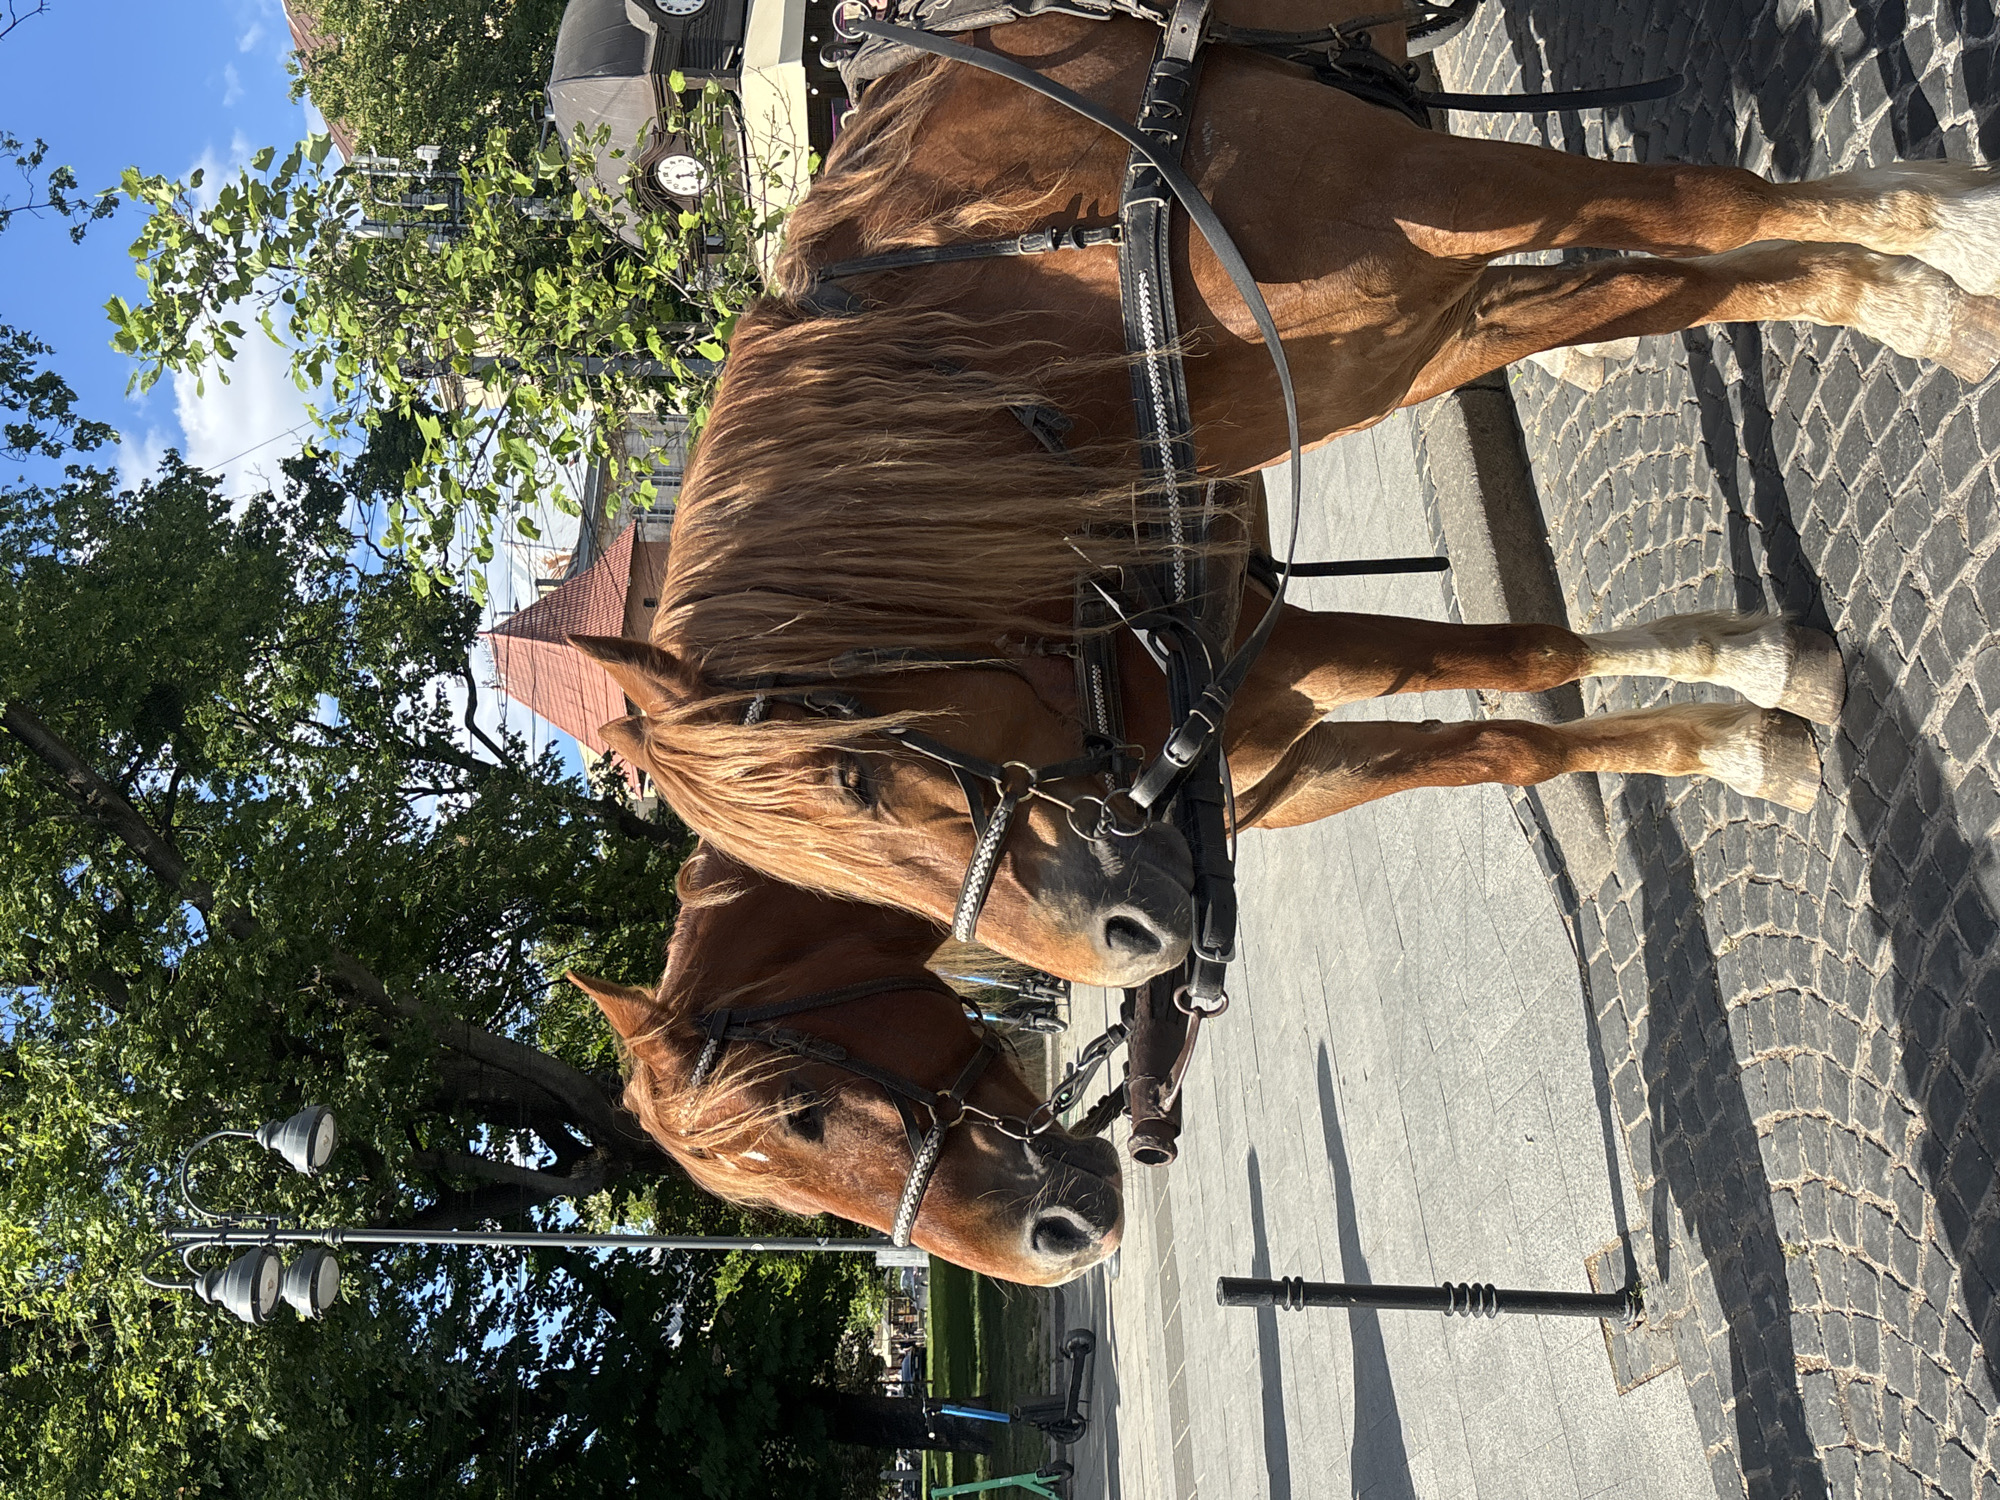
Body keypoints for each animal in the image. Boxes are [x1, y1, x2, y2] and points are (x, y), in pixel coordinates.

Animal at [579, 0, 1996, 986]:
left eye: (860, 785)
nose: (1133, 945)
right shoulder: (1422, 329)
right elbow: (1526, 669)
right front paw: (1751, 710)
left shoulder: (1440, 200)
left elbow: (1710, 207)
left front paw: (1931, 271)